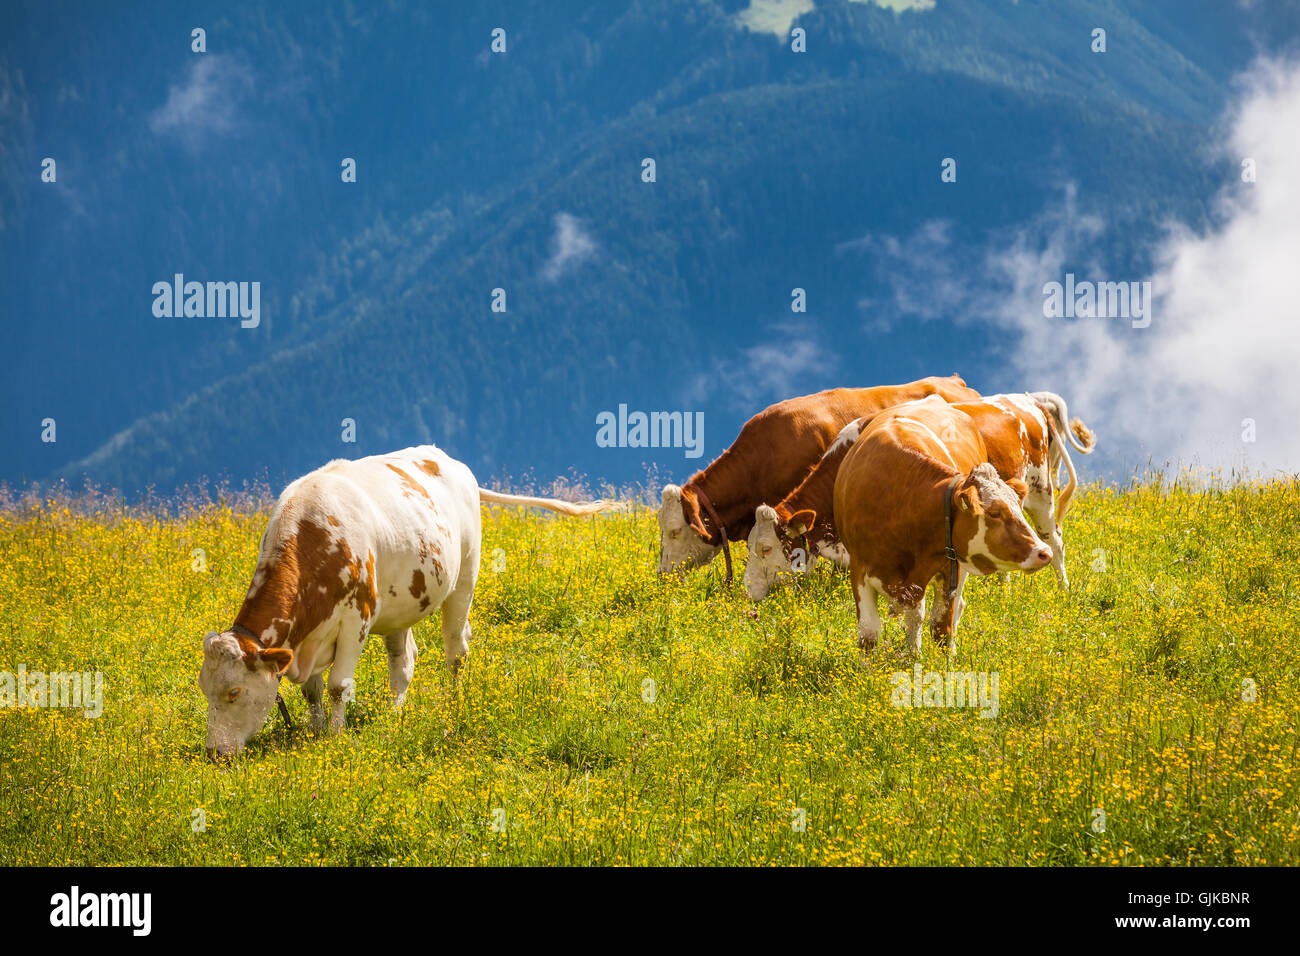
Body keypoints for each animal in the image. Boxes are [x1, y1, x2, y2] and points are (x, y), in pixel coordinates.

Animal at [199, 445, 617, 757]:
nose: (216, 754)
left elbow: (337, 686)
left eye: (234, 692)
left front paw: (334, 737)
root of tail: (452, 462)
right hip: (400, 607)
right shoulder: (307, 635)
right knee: (404, 663)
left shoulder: (357, 618)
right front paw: (315, 733)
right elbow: (311, 690)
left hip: (465, 577)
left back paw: (452, 704)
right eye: (205, 689)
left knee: (456, 651)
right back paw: (392, 716)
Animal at [745, 392, 1095, 600]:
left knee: (1054, 541)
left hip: (1040, 489)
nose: (747, 591)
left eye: (765, 549)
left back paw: (1064, 590)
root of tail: (1029, 400)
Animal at [831, 396, 1056, 659]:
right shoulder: (859, 570)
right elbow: (869, 635)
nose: (1043, 553)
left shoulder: (949, 568)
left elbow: (941, 627)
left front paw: (944, 663)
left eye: (1017, 507)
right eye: (994, 513)